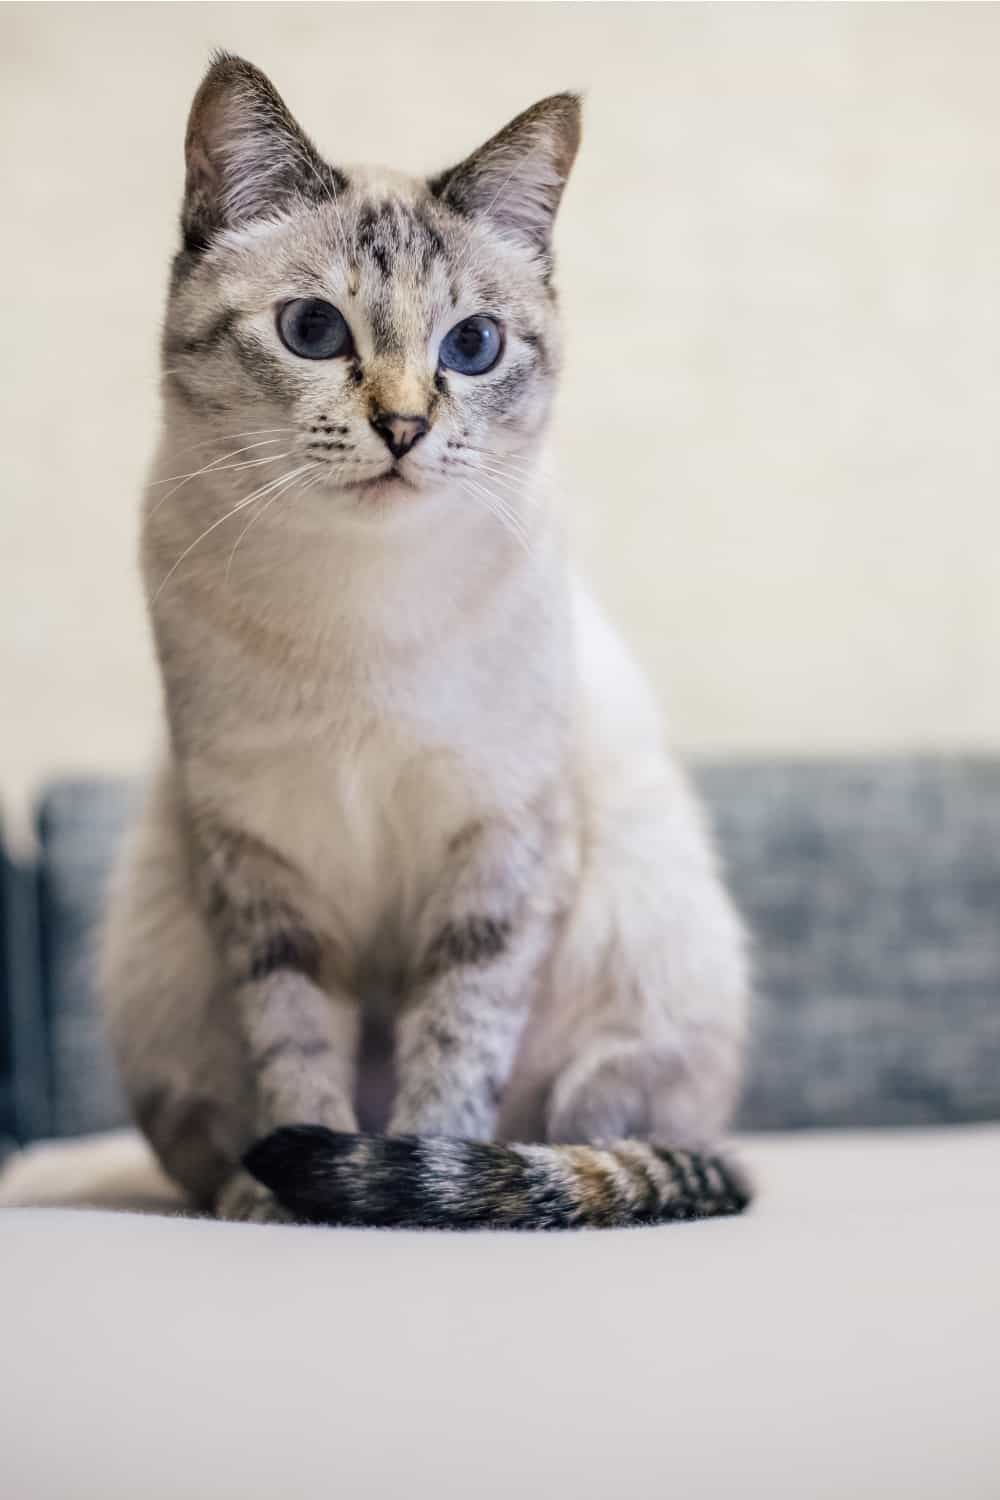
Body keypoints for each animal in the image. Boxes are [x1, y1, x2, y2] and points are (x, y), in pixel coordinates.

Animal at [105, 55, 755, 1230]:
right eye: (315, 332)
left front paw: (406, 1191)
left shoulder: (497, 851)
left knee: (591, 1144)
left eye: (473, 347)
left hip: (640, 987)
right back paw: (247, 1189)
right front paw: (298, 1201)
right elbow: (295, 1055)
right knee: (218, 1141)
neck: (359, 611)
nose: (404, 428)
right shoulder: (262, 864)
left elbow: (454, 1053)